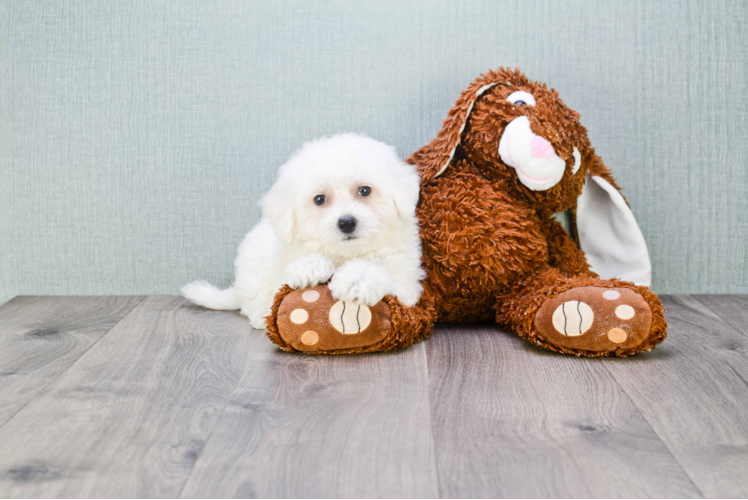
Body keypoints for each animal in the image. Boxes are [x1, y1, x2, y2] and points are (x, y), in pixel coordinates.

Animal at [182, 133, 424, 330]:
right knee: (252, 301)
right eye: (319, 199)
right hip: (254, 268)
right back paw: (261, 313)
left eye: (365, 190)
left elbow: (384, 275)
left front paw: (357, 278)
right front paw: (310, 267)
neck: (346, 253)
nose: (346, 222)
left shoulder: (407, 286)